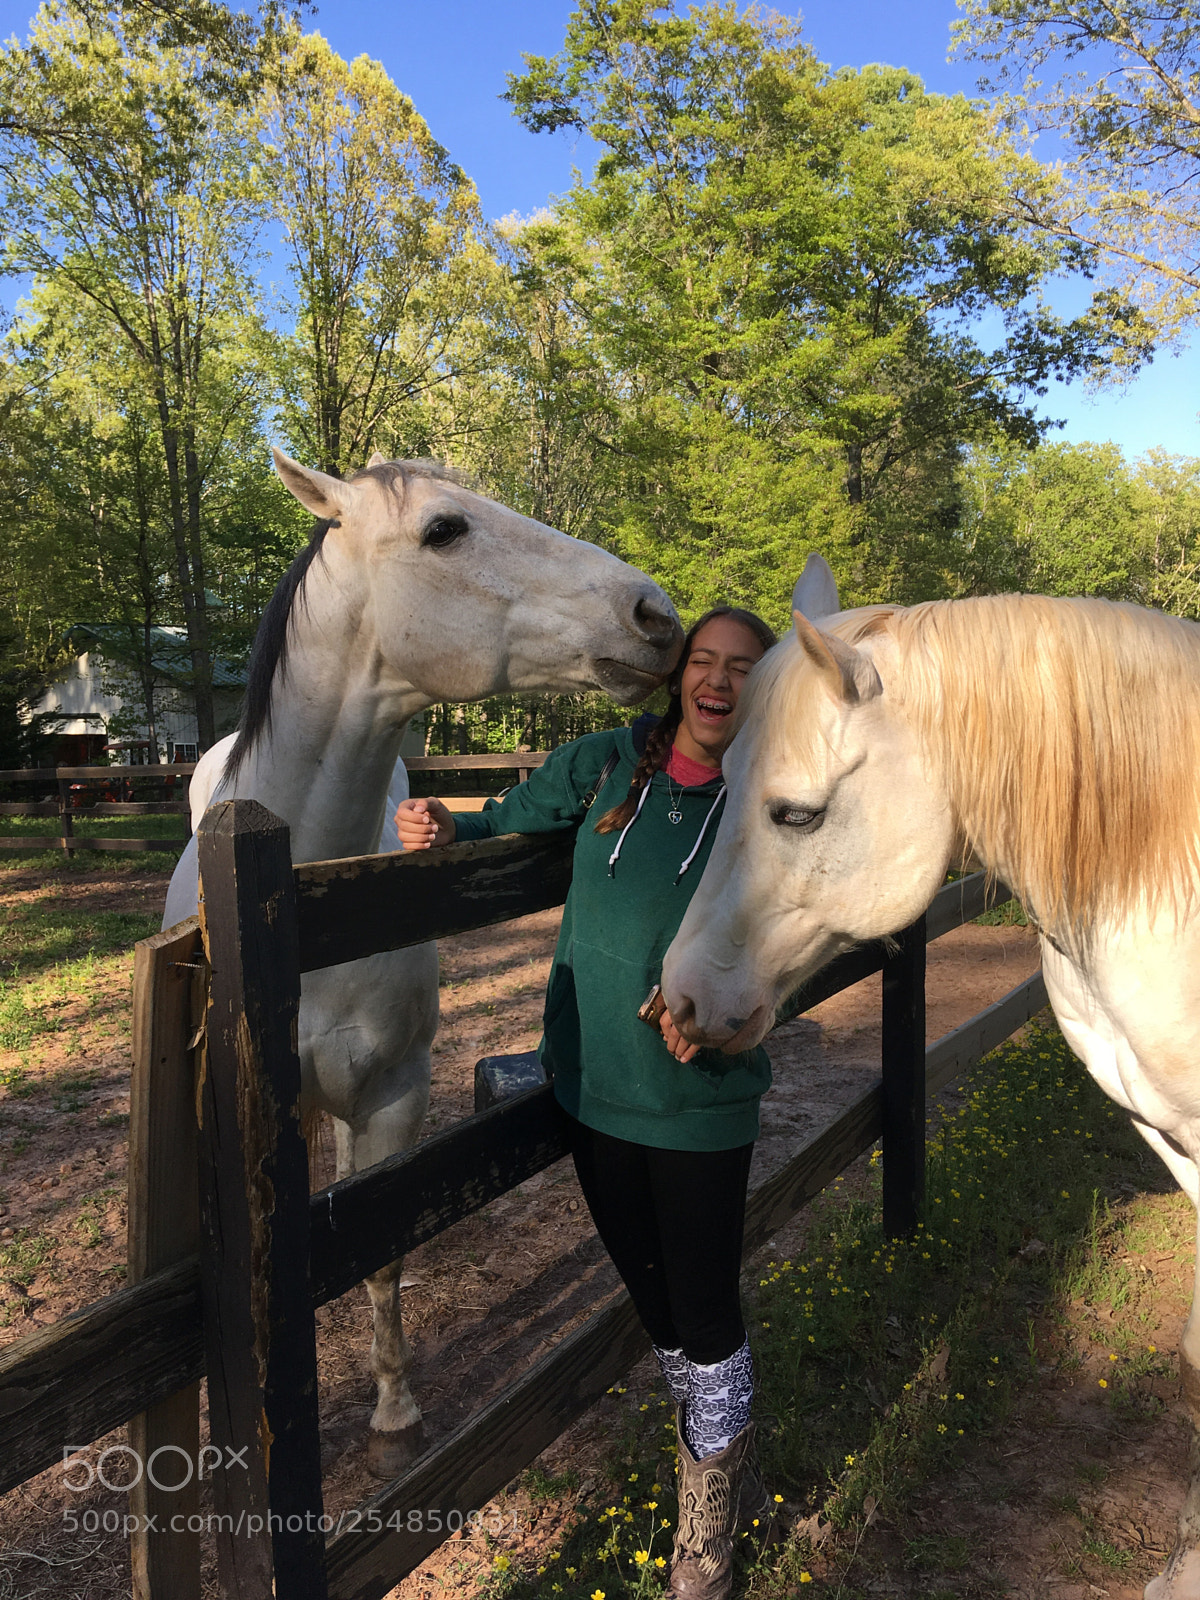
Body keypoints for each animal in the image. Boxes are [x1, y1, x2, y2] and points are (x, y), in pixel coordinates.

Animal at [164, 448, 682, 1477]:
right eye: (445, 529)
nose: (656, 615)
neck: (305, 907)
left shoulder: (394, 1094)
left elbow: (382, 1248)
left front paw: (395, 1416)